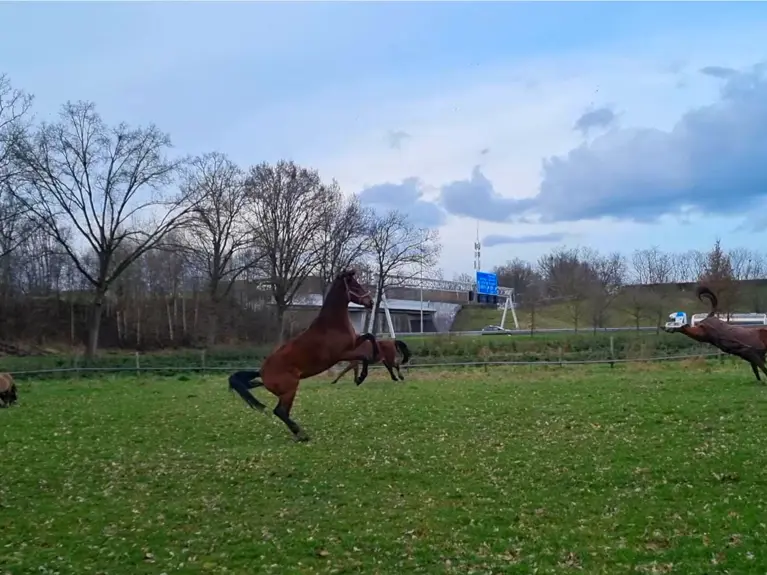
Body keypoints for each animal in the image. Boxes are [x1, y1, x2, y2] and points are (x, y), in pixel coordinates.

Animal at [228, 268, 379, 442]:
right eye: (355, 285)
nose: (370, 302)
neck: (332, 324)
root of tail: (262, 373)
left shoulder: (354, 343)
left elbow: (369, 336)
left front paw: (363, 373)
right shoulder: (343, 353)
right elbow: (364, 356)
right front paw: (362, 376)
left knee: (281, 412)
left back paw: (299, 433)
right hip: (290, 390)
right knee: (280, 411)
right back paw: (302, 435)